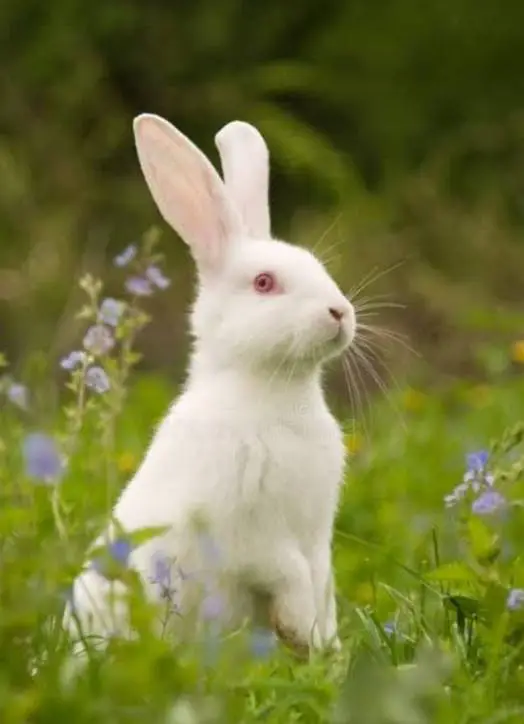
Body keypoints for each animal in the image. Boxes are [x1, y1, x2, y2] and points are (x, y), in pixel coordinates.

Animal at [63, 114, 356, 657]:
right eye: (264, 283)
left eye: (318, 266)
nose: (340, 312)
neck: (274, 392)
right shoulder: (251, 534)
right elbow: (288, 575)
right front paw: (298, 632)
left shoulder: (315, 538)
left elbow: (321, 584)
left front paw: (325, 650)